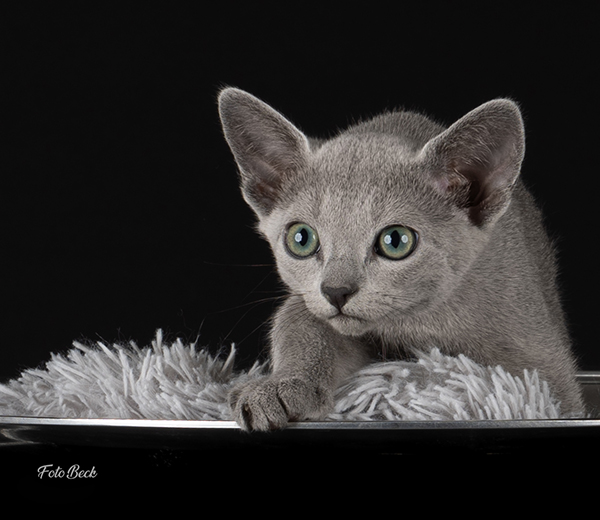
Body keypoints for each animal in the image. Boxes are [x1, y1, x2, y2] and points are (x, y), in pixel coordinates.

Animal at [218, 88, 584, 430]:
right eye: (301, 238)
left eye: (396, 241)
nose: (336, 292)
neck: (422, 323)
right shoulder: (312, 305)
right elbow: (299, 324)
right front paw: (279, 387)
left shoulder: (541, 361)